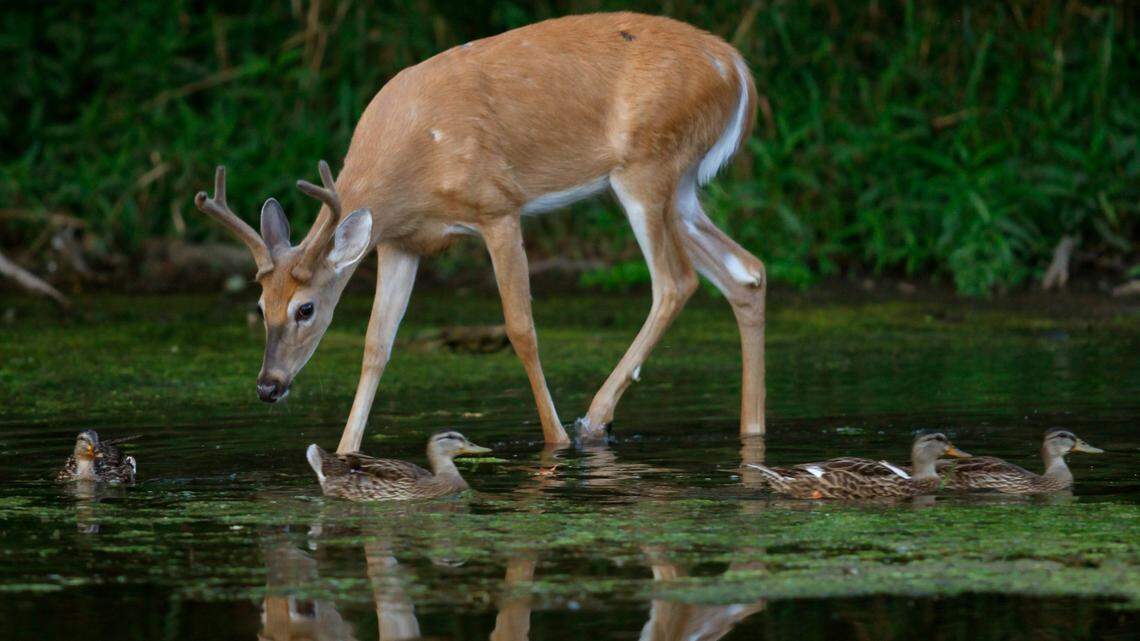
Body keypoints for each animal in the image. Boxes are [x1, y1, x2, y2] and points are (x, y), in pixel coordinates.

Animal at [193, 12, 765, 452]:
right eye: (260, 305)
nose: (268, 387)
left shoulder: (498, 209)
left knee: (676, 281)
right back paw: (751, 429)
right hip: (682, 186)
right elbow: (376, 345)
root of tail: (738, 69)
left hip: (647, 168)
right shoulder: (401, 242)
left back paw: (593, 420)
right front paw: (344, 452)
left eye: (305, 309)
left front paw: (556, 440)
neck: (413, 164)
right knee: (747, 271)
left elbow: (521, 328)